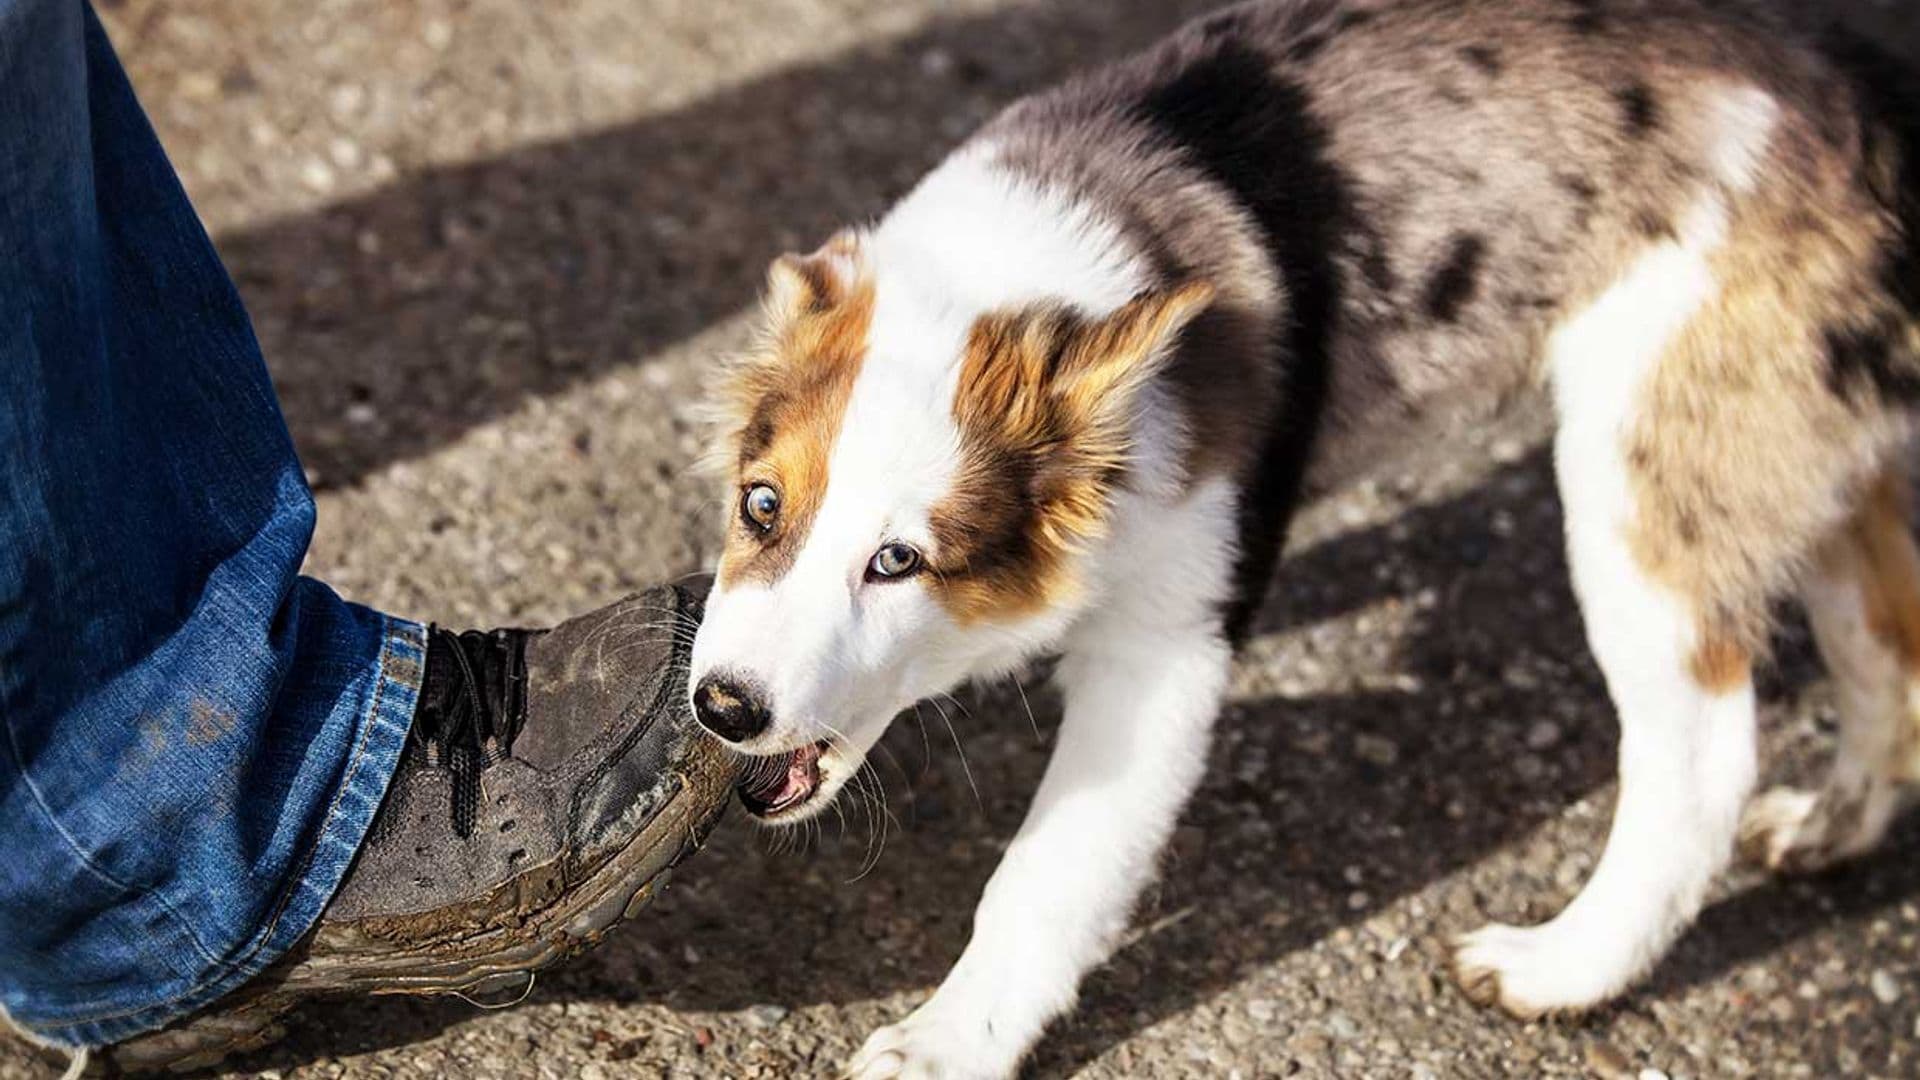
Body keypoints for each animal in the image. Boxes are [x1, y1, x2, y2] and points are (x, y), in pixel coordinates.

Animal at [683, 0, 1920, 1068]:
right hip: (1810, 445)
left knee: (1704, 749)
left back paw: (1564, 966)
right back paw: (1832, 825)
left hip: (1644, 465)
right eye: (760, 505)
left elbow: (1051, 872)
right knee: (1885, 645)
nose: (723, 707)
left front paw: (950, 1042)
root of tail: (1854, 91)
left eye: (899, 561)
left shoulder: (1168, 646)